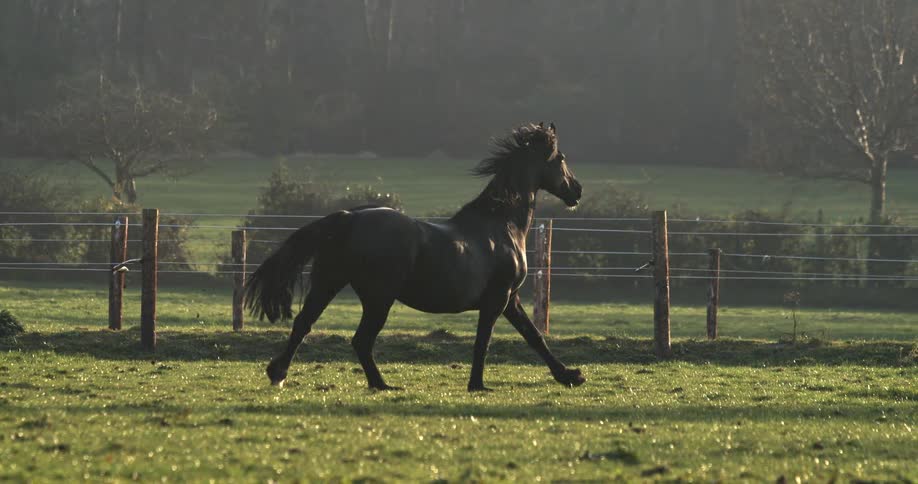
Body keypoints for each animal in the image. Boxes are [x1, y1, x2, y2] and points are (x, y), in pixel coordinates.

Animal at [245, 122, 584, 392]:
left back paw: (278, 373)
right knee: (360, 339)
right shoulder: (497, 299)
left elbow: (534, 336)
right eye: (562, 159)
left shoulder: (510, 299)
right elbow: (484, 342)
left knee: (304, 323)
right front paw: (477, 385)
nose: (577, 191)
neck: (501, 223)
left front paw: (569, 376)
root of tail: (350, 218)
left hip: (329, 282)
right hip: (378, 298)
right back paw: (382, 384)